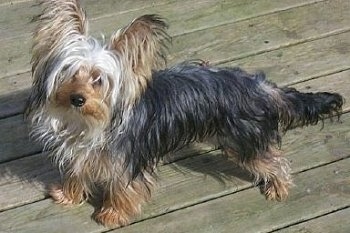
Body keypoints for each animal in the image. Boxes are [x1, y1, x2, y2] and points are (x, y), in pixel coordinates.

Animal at [26, 0, 344, 228]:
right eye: (70, 74)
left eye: (99, 80)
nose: (77, 98)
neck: (87, 122)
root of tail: (258, 85)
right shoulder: (80, 151)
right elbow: (76, 173)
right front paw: (68, 195)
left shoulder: (127, 160)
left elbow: (124, 189)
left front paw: (112, 214)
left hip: (242, 138)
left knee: (273, 159)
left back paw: (279, 186)